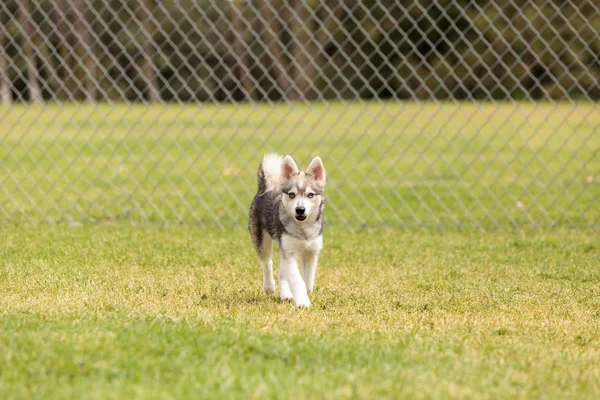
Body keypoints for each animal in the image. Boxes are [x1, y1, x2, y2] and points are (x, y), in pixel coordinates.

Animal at [248, 155, 326, 308]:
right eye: (291, 195)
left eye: (310, 195)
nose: (300, 209)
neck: (303, 230)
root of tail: (264, 189)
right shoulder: (289, 253)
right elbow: (297, 280)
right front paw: (302, 302)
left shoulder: (311, 253)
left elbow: (308, 282)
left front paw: (304, 295)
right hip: (262, 241)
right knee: (267, 263)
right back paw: (269, 286)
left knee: (282, 273)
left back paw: (286, 295)